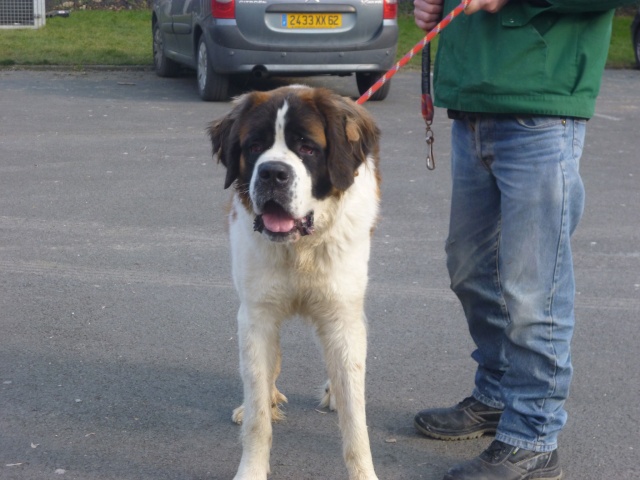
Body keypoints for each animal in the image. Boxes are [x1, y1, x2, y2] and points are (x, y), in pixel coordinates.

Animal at [209, 86, 380, 480]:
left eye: (307, 147)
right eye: (254, 146)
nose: (273, 173)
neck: (300, 248)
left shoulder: (341, 315)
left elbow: (355, 419)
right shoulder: (257, 316)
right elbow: (257, 415)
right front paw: (251, 469)